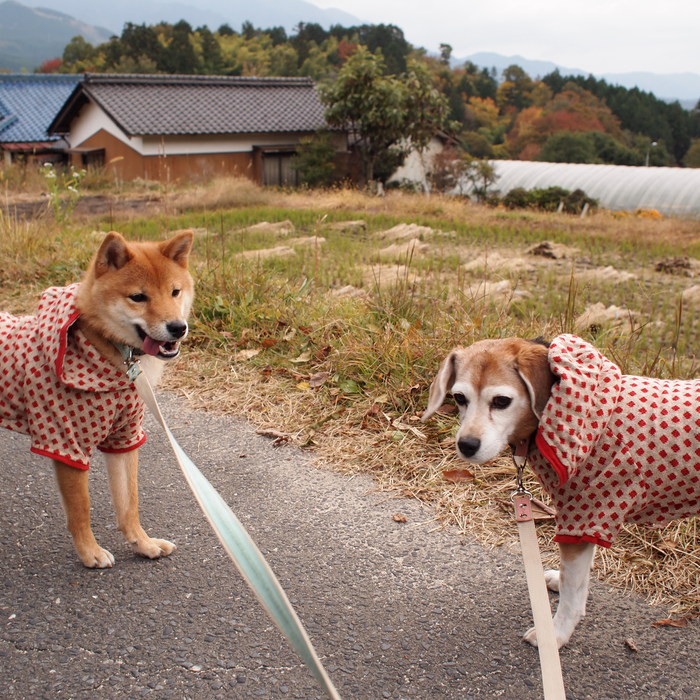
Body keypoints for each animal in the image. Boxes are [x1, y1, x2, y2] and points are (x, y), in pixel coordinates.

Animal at [0, 230, 194, 568]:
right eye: (138, 297)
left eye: (175, 292)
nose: (177, 328)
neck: (110, 352)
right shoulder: (65, 443)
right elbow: (81, 508)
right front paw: (89, 552)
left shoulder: (124, 439)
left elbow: (129, 505)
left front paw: (143, 544)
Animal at [422, 336, 700, 648]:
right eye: (460, 398)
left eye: (502, 401)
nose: (466, 445)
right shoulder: (585, 523)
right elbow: (576, 578)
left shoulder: (583, 518)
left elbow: (572, 590)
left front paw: (555, 634)